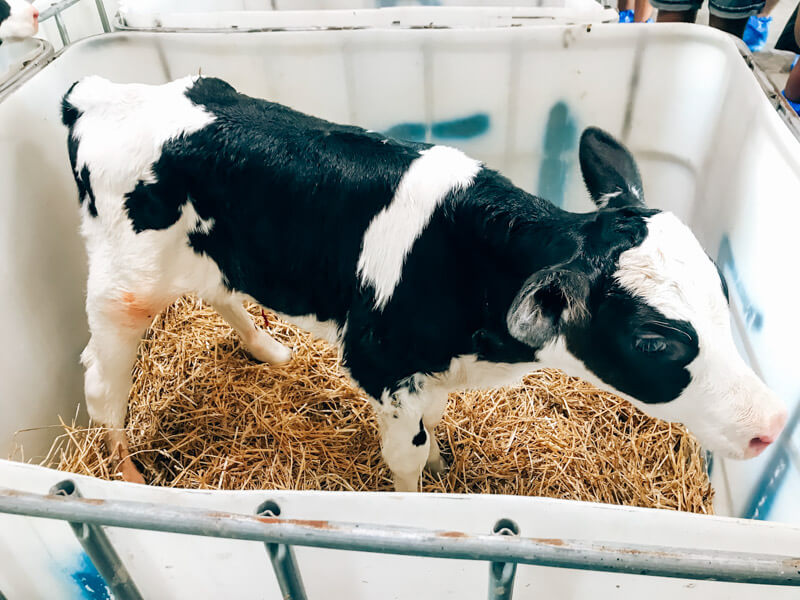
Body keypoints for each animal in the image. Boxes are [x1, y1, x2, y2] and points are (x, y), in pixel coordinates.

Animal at [62, 75, 788, 490]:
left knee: (217, 290)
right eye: (655, 342)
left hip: (208, 251)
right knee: (100, 380)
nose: (774, 424)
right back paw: (126, 473)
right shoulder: (381, 364)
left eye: (723, 294)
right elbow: (404, 460)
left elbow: (431, 430)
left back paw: (269, 349)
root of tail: (96, 92)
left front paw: (444, 463)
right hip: (123, 284)